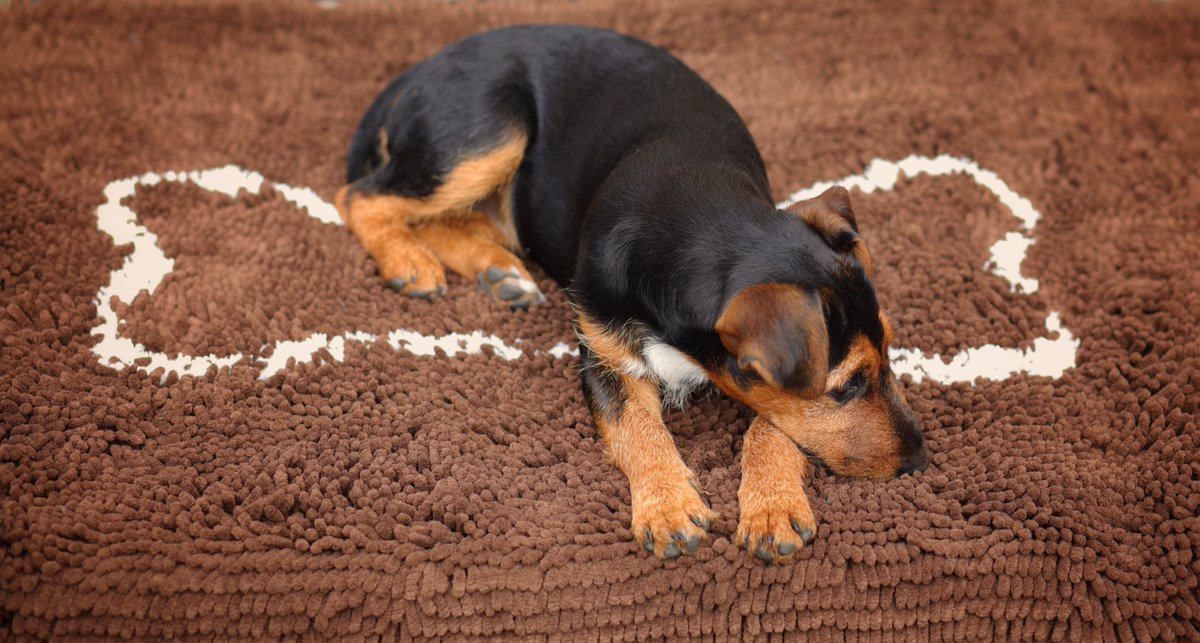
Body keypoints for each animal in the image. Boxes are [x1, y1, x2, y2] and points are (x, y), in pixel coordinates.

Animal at [333, 25, 931, 559]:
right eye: (846, 387)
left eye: (890, 351)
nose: (920, 461)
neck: (695, 218)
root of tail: (418, 70)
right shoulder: (604, 359)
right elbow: (638, 429)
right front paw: (670, 510)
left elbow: (774, 424)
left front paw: (772, 508)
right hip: (484, 137)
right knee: (360, 196)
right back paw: (409, 262)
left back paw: (497, 271)